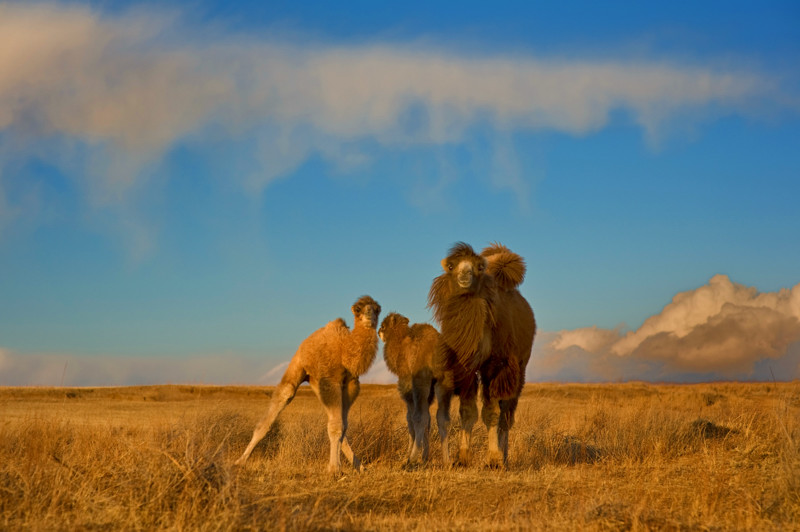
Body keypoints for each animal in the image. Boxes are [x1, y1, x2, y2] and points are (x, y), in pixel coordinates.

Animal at [234, 296, 382, 474]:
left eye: (377, 309)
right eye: (358, 309)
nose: (369, 316)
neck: (344, 350)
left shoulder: (351, 385)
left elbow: (342, 425)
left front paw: (348, 466)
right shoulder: (330, 381)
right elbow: (337, 426)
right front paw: (334, 469)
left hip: (316, 382)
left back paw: (361, 467)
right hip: (298, 364)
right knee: (286, 393)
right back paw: (240, 461)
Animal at [378, 312, 446, 466]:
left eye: (383, 325)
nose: (379, 332)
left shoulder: (407, 385)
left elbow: (410, 418)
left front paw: (408, 455)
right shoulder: (429, 395)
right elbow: (428, 419)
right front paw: (425, 456)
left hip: (420, 381)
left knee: (419, 417)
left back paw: (411, 459)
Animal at [428, 243, 536, 468]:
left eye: (478, 267)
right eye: (451, 266)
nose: (464, 274)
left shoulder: (496, 367)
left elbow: (491, 413)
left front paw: (493, 459)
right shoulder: (465, 370)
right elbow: (467, 412)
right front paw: (462, 458)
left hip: (520, 367)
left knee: (507, 413)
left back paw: (504, 457)